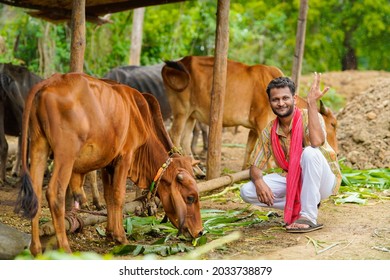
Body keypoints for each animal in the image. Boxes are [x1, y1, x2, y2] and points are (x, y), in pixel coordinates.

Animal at [13, 72, 203, 256]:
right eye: (190, 197)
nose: (200, 232)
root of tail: (49, 82)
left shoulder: (108, 164)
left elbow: (108, 196)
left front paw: (110, 232)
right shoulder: (125, 157)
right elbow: (118, 196)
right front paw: (121, 237)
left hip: (38, 146)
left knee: (36, 193)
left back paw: (36, 249)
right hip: (65, 154)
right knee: (55, 193)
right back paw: (65, 248)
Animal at [161, 54, 338, 168]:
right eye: (333, 124)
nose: (335, 152)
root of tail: (180, 62)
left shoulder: (254, 128)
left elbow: (249, 150)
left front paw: (245, 170)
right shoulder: (261, 123)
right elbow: (267, 155)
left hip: (191, 115)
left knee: (185, 140)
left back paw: (196, 170)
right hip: (181, 111)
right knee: (174, 135)